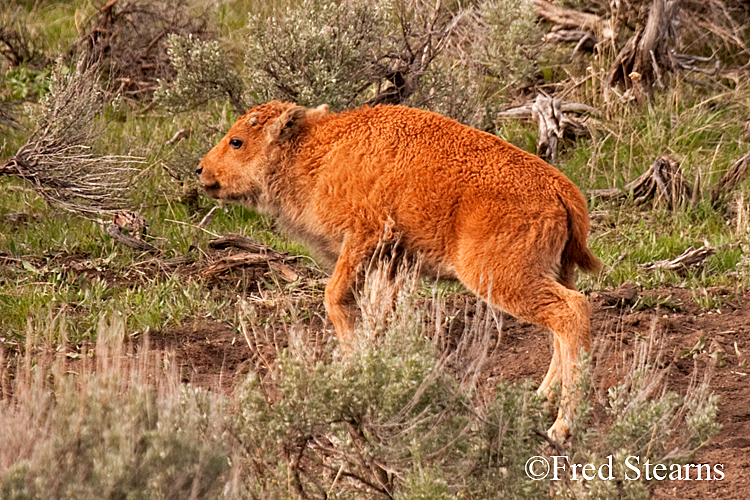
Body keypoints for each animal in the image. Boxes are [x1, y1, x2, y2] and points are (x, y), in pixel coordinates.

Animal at [197, 100, 604, 438]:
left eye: (237, 141)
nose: (201, 170)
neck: (320, 152)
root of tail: (562, 190)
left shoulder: (364, 238)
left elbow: (336, 298)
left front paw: (354, 364)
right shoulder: (393, 263)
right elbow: (380, 314)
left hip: (500, 277)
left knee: (572, 312)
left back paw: (562, 426)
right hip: (552, 272)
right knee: (560, 326)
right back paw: (540, 400)